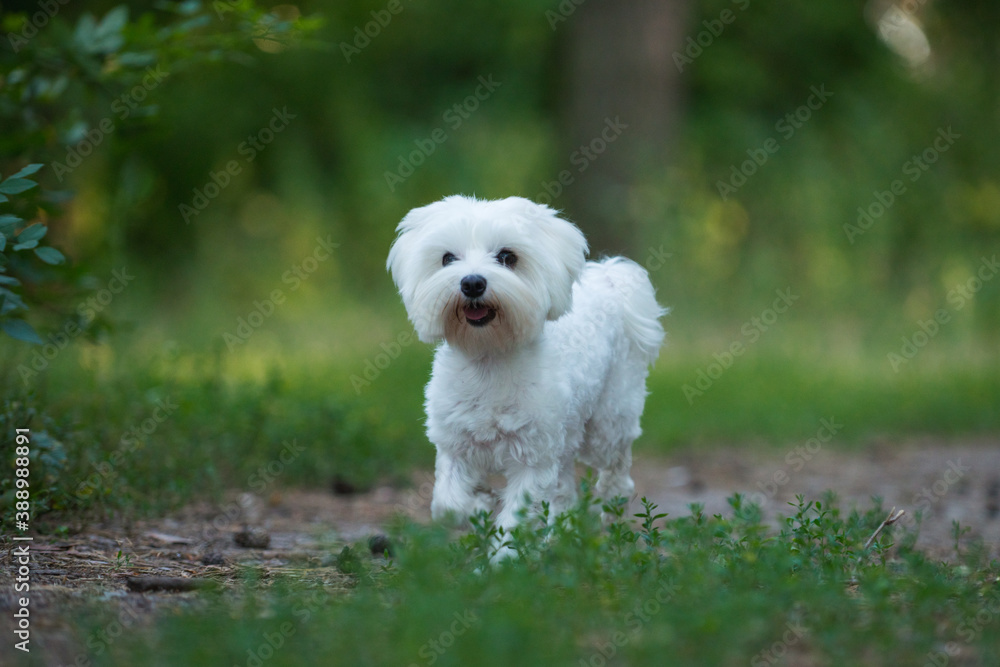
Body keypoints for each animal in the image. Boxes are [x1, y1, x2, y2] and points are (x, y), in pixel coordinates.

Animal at [386, 194, 668, 532]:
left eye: (507, 257)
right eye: (447, 258)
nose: (472, 283)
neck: (489, 358)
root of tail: (609, 279)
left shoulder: (533, 459)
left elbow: (516, 521)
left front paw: (503, 542)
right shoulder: (455, 446)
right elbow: (448, 506)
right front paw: (478, 502)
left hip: (608, 420)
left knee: (616, 469)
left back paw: (610, 508)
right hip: (564, 435)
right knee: (564, 487)